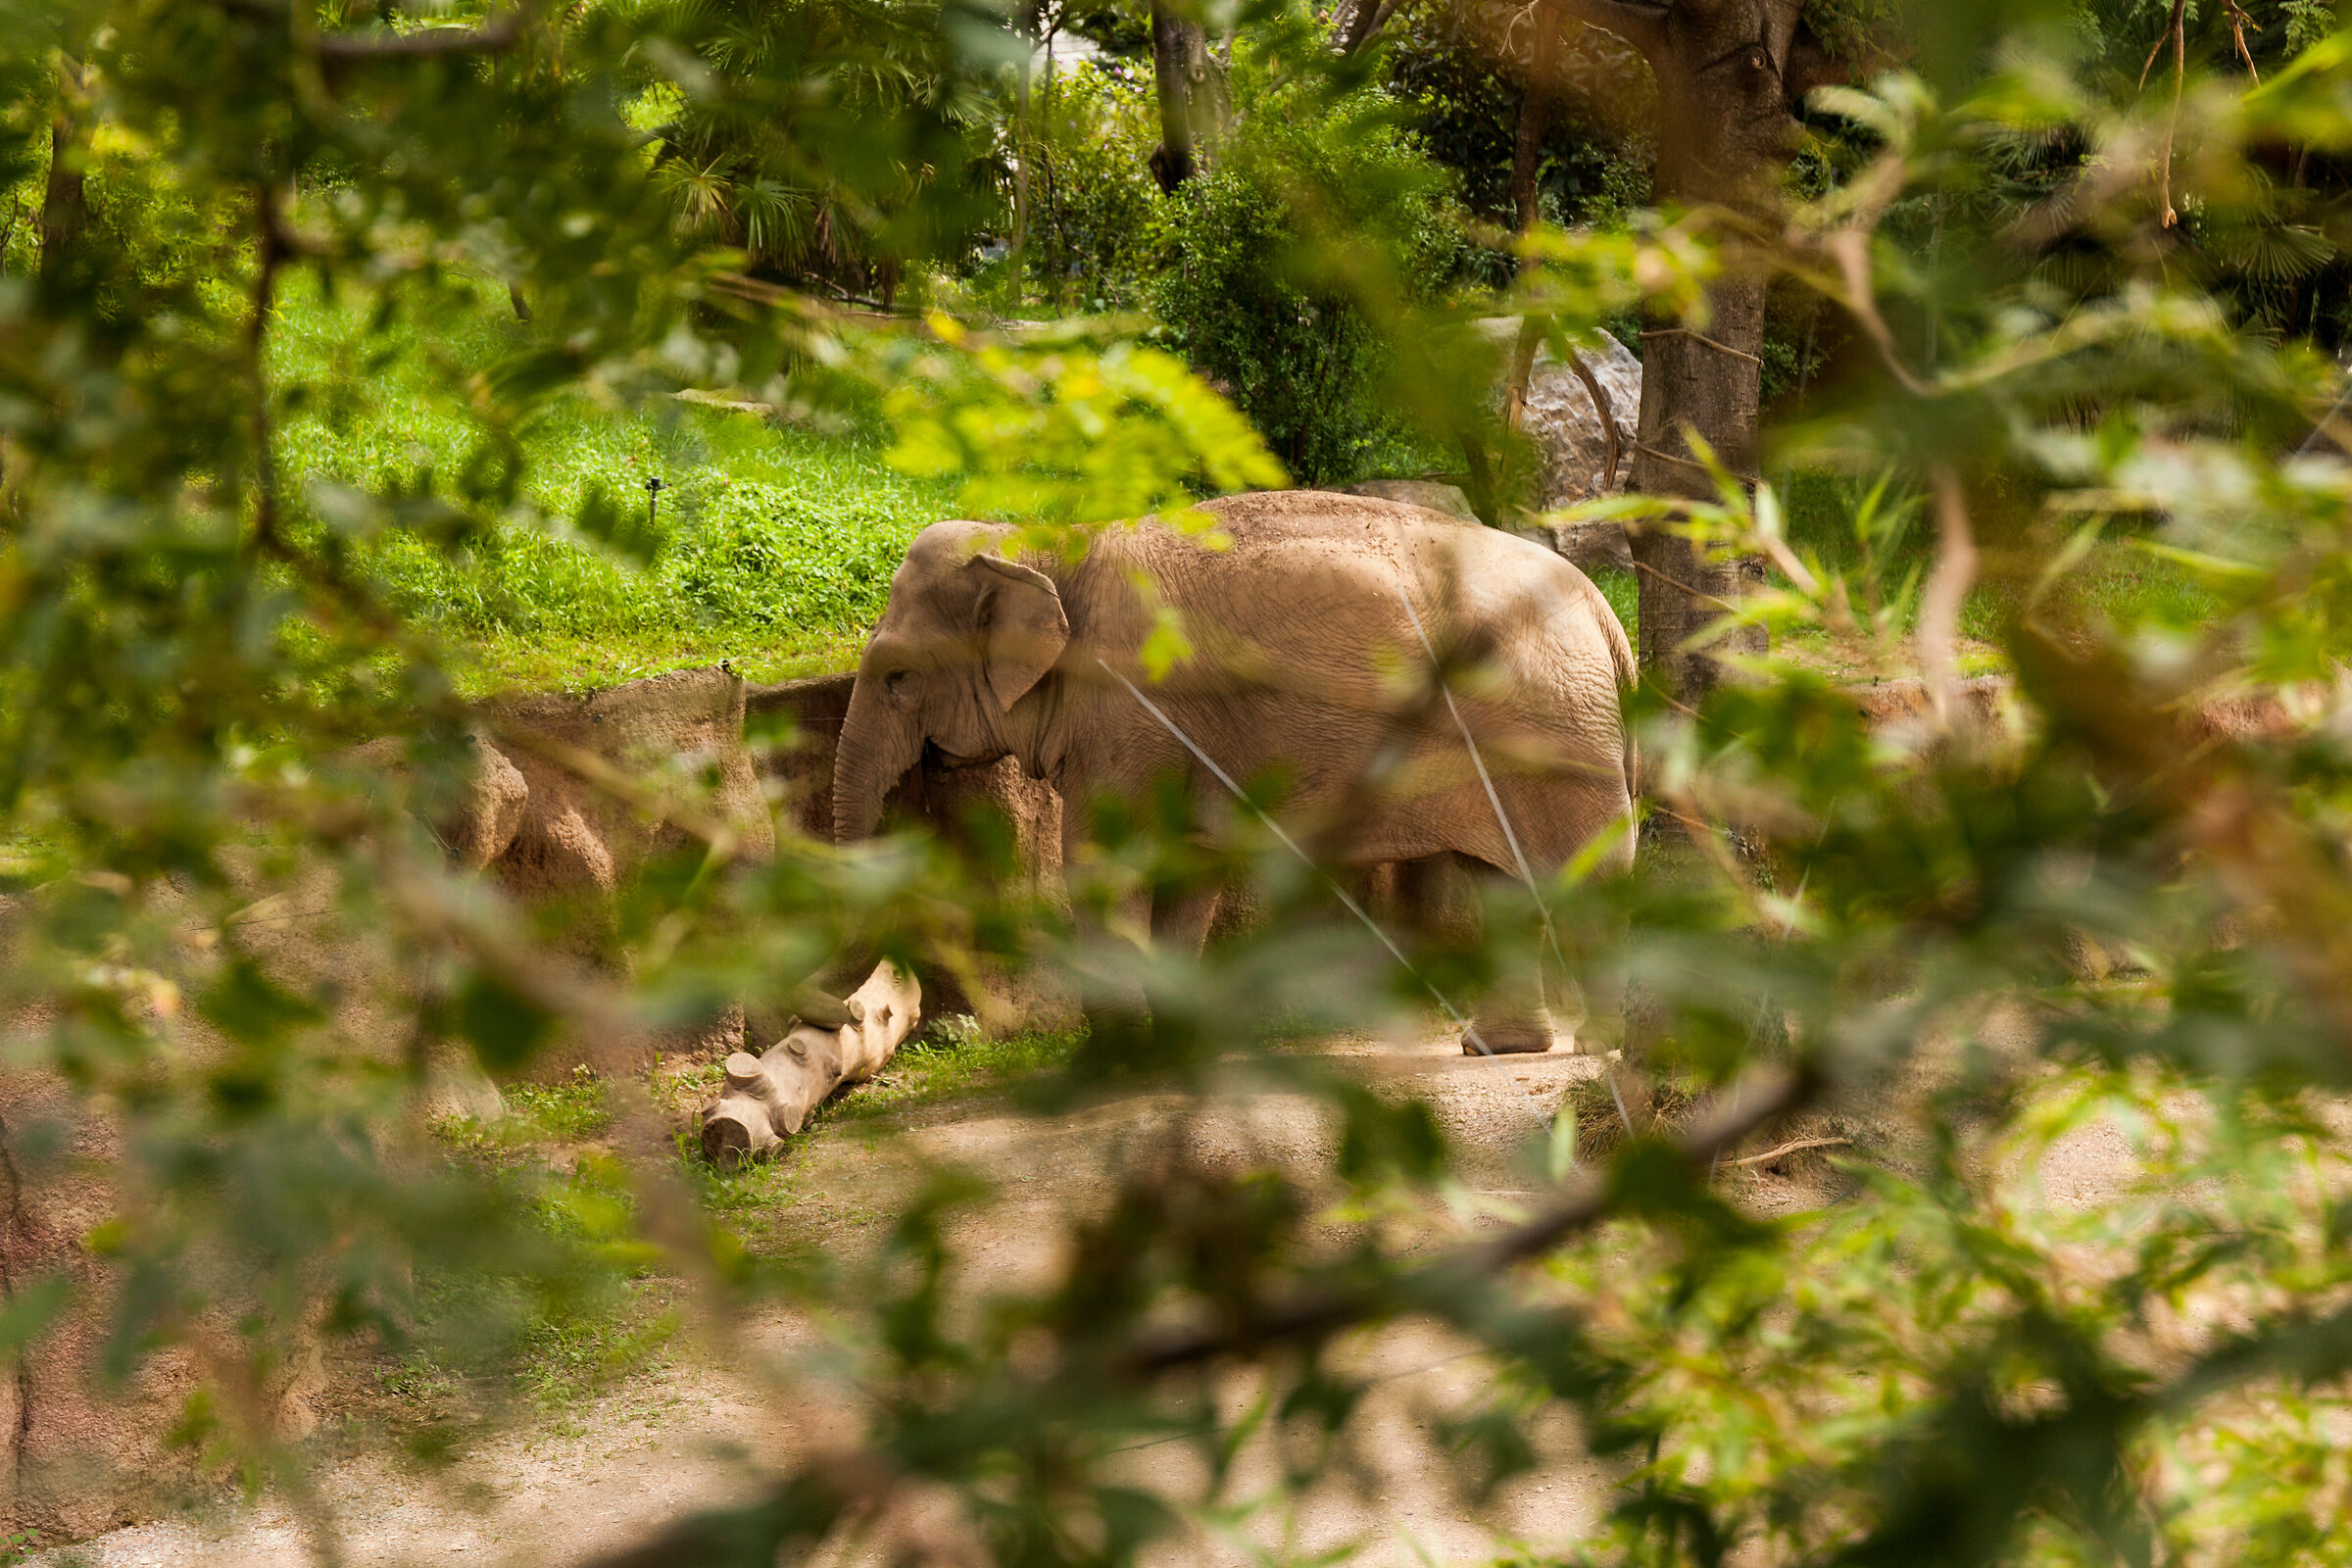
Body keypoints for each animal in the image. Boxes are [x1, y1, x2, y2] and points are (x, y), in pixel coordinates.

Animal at [830, 489, 1638, 1053]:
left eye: (898, 677)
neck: (1044, 544)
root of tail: (1605, 612)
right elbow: (1187, 867)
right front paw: (1169, 1045)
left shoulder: (1128, 710)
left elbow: (1111, 863)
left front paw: (1116, 1058)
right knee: (1502, 887)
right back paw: (1496, 1047)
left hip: (1554, 736)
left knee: (1587, 881)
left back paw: (1603, 1048)